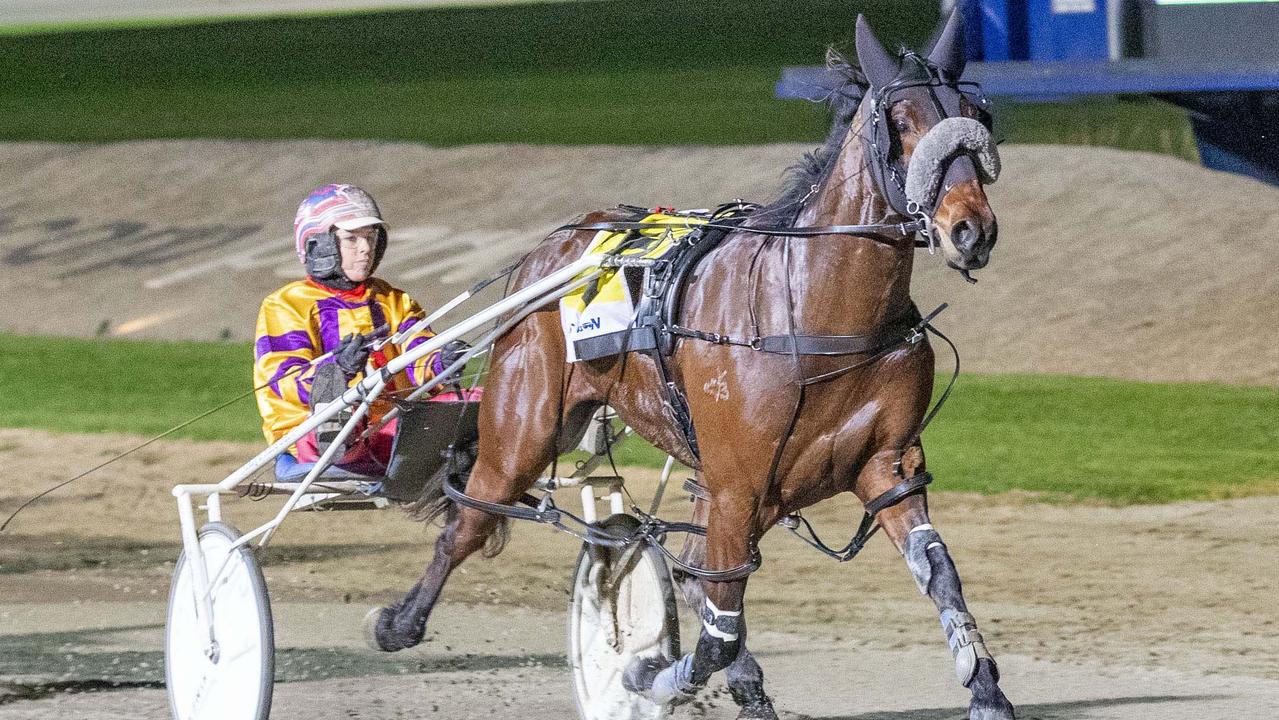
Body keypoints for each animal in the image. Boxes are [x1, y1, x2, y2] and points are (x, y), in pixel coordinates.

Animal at [373, 12, 1012, 720]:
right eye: (899, 119)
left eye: (977, 114)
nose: (970, 229)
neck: (816, 311)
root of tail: (554, 247)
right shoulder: (738, 485)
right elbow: (715, 632)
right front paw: (642, 670)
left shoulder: (885, 466)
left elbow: (939, 572)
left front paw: (986, 692)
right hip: (525, 427)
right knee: (471, 518)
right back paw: (401, 622)